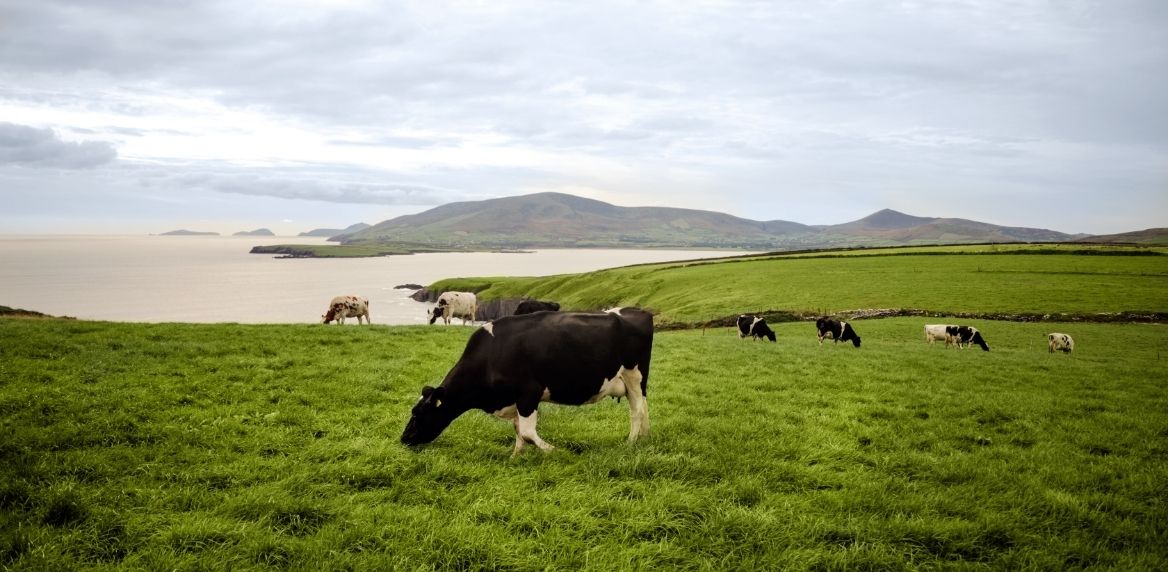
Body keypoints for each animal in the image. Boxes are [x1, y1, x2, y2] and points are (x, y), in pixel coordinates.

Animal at [401, 305, 654, 457]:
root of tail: (635, 311)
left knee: (637, 412)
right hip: (634, 384)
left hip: (633, 376)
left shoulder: (529, 393)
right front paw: (515, 456)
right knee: (643, 409)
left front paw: (555, 451)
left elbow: (527, 432)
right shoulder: (514, 399)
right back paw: (643, 439)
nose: (404, 438)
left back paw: (630, 443)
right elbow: (518, 430)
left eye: (418, 414)